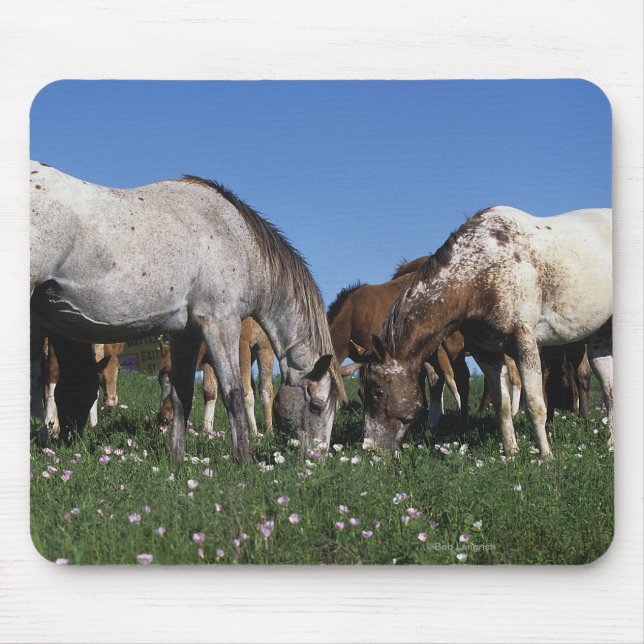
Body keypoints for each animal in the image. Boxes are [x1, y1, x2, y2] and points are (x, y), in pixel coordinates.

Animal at [30, 162, 345, 463]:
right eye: (316, 405)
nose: (317, 459)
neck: (235, 237)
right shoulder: (221, 323)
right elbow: (234, 394)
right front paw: (244, 462)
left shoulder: (186, 334)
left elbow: (182, 394)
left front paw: (176, 460)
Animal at [359, 206, 612, 457]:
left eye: (378, 392)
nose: (369, 447)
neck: (479, 273)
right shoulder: (487, 352)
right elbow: (502, 406)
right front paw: (511, 454)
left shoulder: (525, 342)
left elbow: (534, 405)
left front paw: (546, 457)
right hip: (600, 340)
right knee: (609, 390)